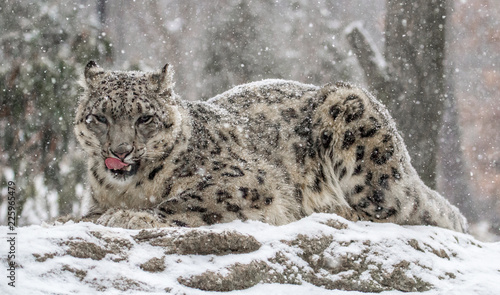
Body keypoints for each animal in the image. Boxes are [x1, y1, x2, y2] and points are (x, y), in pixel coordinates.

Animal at [73, 60, 464, 234]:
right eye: (100, 117)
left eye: (145, 118)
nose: (120, 150)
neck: (128, 189)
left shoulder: (244, 182)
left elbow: (181, 202)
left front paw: (127, 216)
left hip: (363, 145)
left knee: (409, 212)